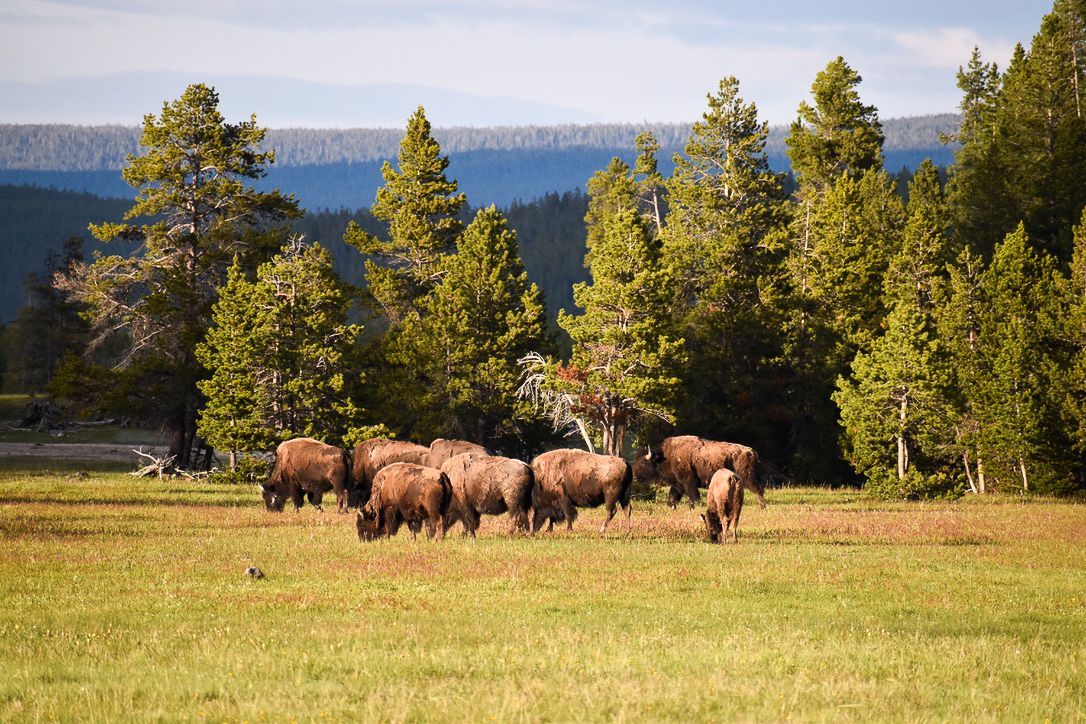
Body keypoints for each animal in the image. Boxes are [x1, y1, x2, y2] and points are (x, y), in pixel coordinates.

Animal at [634, 435, 765, 509]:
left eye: (643, 463)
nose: (635, 476)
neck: (665, 456)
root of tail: (751, 451)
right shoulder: (677, 484)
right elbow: (673, 496)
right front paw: (671, 506)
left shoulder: (688, 482)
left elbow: (694, 496)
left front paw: (697, 505)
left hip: (748, 477)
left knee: (759, 490)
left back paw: (762, 507)